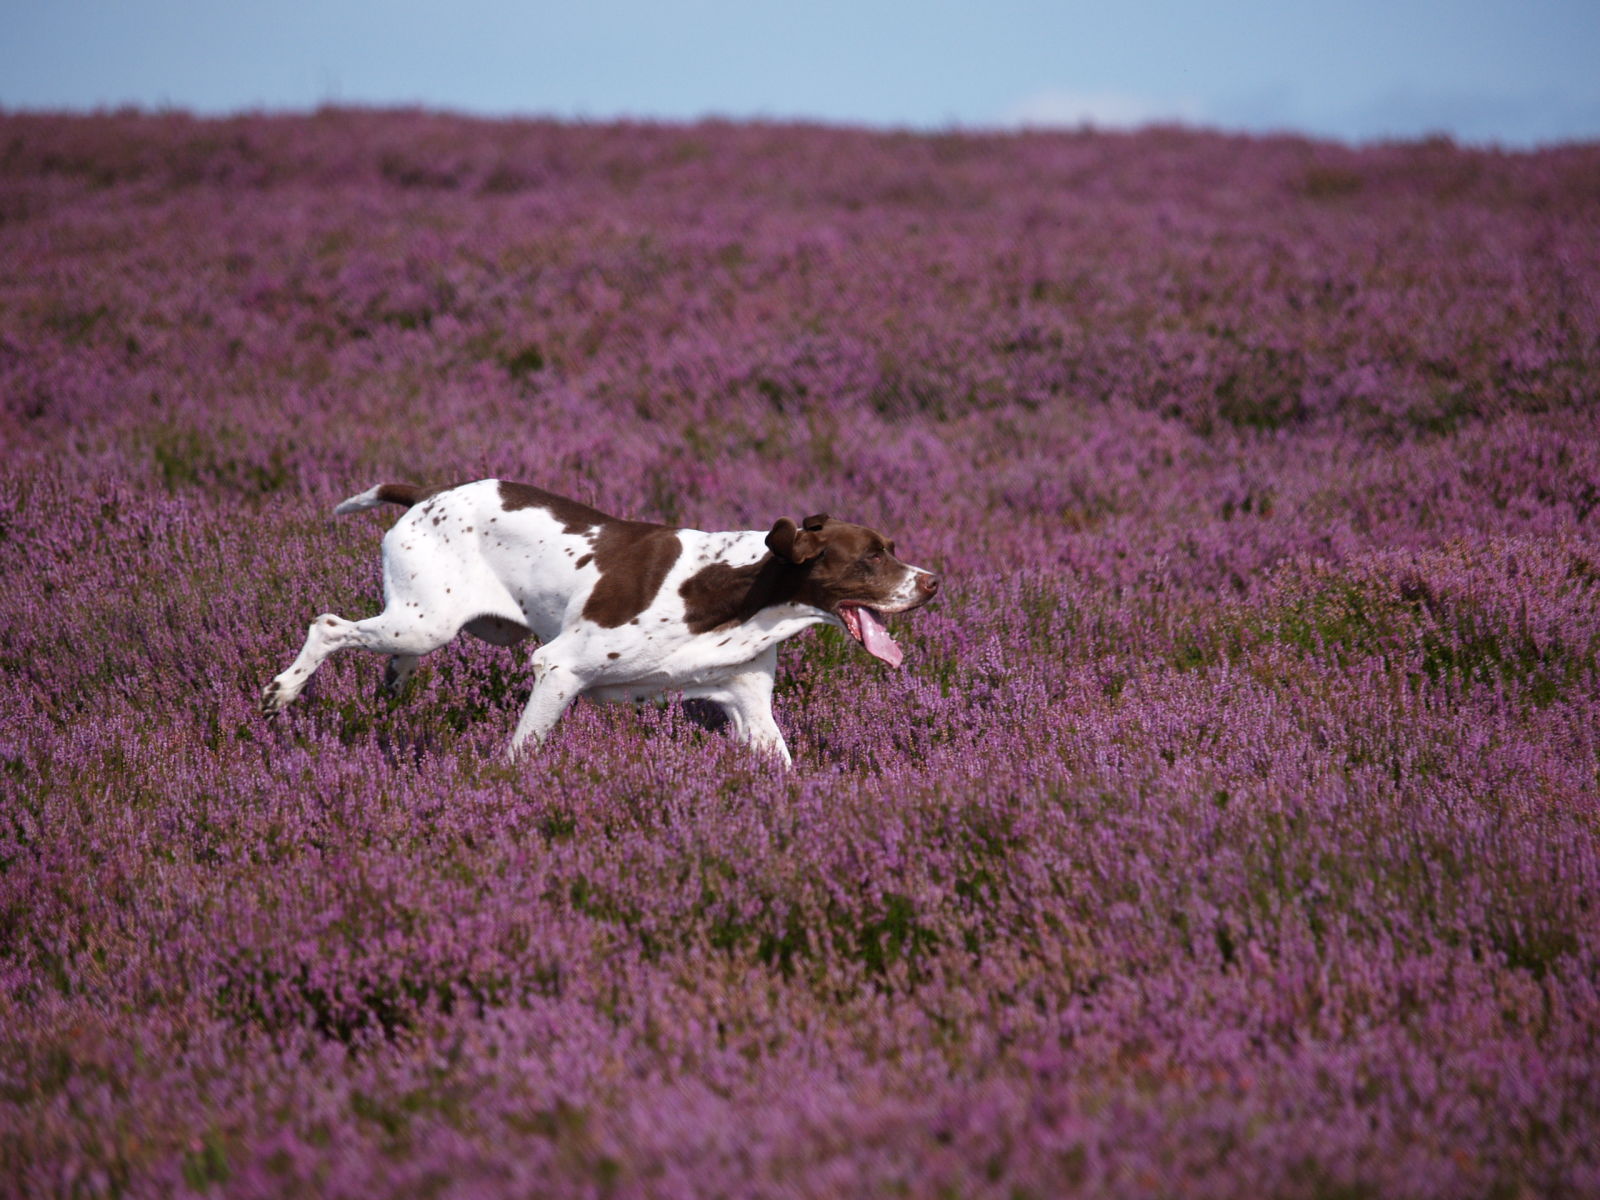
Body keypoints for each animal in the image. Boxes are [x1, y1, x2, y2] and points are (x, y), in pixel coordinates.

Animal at [260, 480, 934, 761]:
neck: (741, 591)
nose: (933, 583)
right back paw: (284, 691)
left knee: (389, 660)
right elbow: (521, 753)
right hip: (422, 622)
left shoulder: (749, 708)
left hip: (419, 626)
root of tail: (426, 496)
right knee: (328, 625)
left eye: (891, 547)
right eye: (872, 558)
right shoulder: (557, 670)